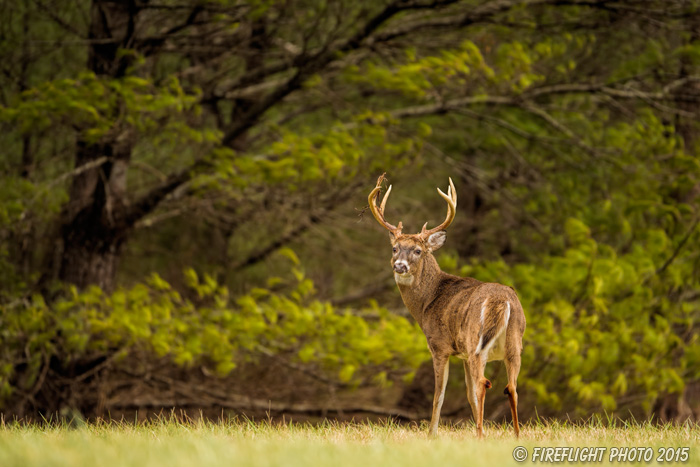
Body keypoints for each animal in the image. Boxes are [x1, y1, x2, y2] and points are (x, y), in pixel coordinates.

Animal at [366, 175, 524, 438]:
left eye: (418, 250)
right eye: (395, 248)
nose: (399, 266)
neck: (427, 303)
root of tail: (502, 301)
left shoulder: (439, 346)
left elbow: (439, 395)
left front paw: (432, 433)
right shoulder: (462, 354)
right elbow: (469, 396)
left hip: (476, 341)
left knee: (483, 383)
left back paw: (482, 434)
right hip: (513, 343)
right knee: (510, 386)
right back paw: (514, 434)